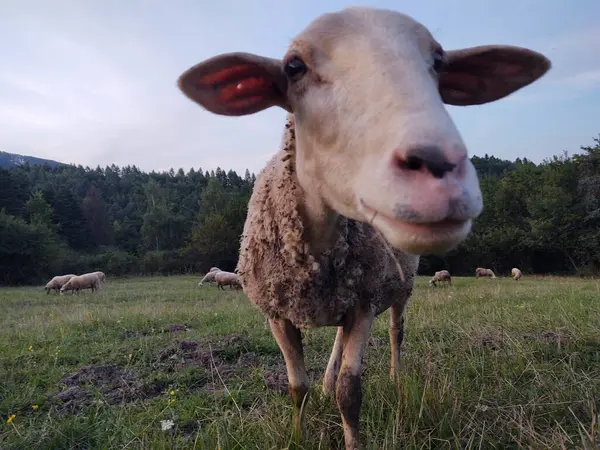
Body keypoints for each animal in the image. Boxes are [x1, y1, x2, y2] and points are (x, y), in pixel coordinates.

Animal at [176, 6, 552, 446]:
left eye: (439, 61)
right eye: (293, 67)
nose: (440, 166)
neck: (318, 246)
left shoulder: (364, 304)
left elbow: (350, 391)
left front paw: (352, 436)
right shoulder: (278, 314)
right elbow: (297, 388)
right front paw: (298, 435)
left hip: (399, 290)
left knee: (395, 334)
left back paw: (395, 377)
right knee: (338, 343)